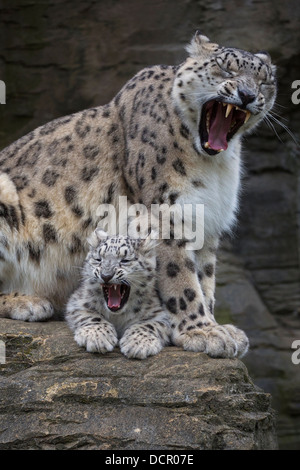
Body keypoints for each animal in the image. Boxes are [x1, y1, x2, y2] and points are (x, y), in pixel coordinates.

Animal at [0, 33, 276, 356]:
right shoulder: (167, 213)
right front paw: (202, 331)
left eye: (264, 81)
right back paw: (29, 302)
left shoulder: (207, 221)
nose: (247, 94)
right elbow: (182, 278)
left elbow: (205, 277)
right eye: (225, 69)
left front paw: (216, 326)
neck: (215, 165)